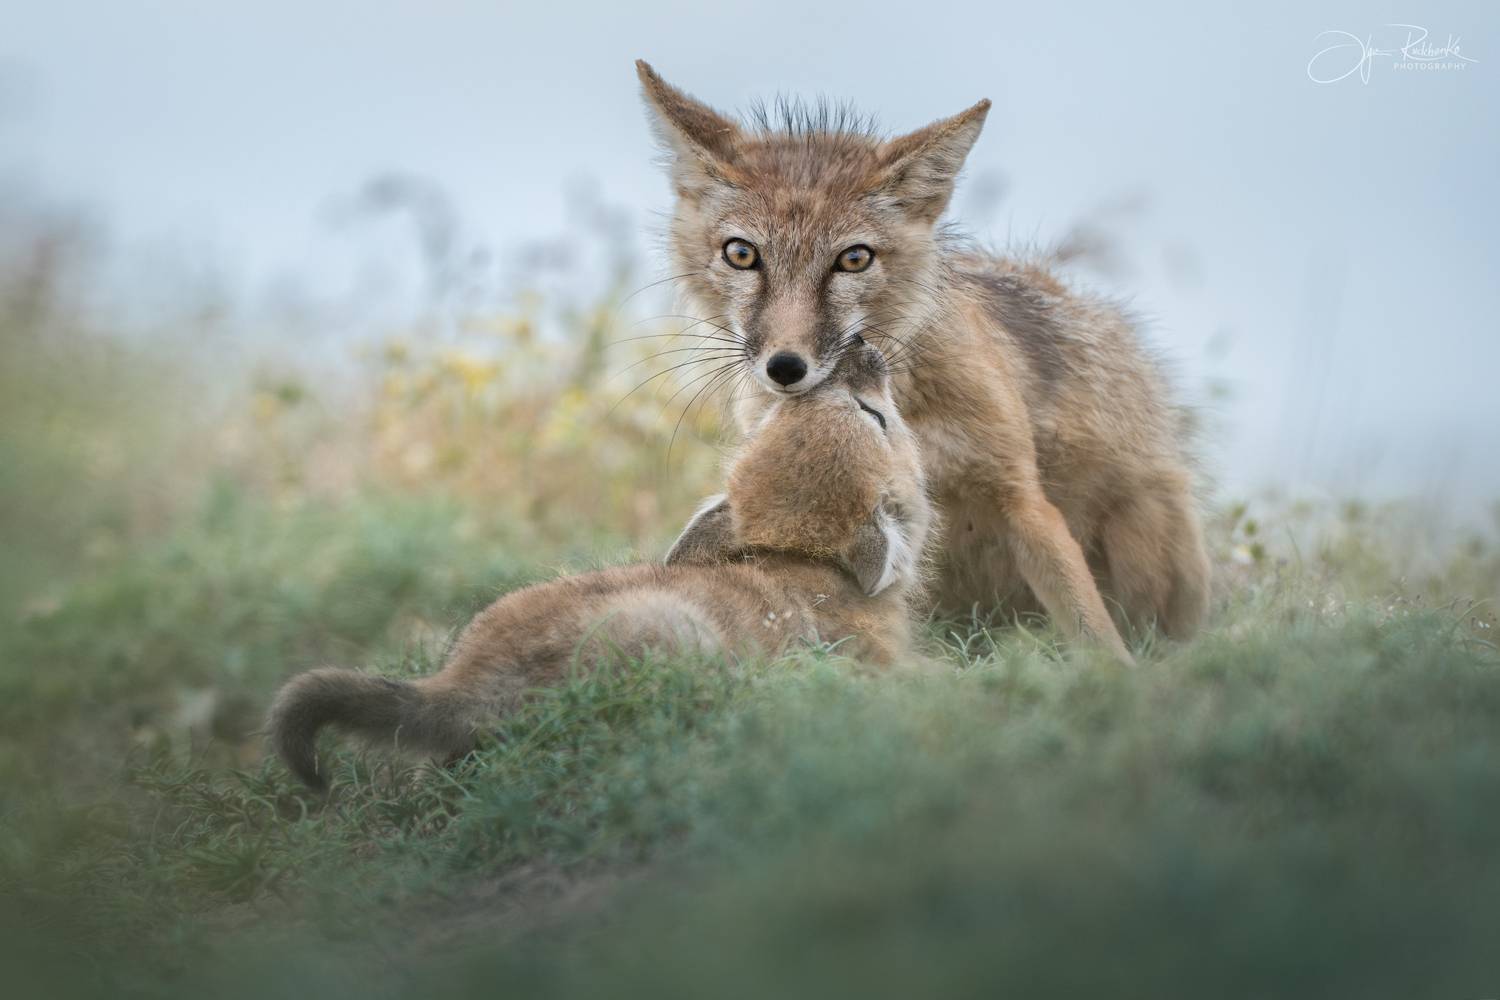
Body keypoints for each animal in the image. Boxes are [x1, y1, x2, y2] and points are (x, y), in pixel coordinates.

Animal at [268, 343, 932, 789]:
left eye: (773, 418)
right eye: (875, 417)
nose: (858, 345)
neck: (798, 560)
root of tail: (460, 681)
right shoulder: (889, 664)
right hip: (678, 640)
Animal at [638, 61, 1211, 663]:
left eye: (854, 259)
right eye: (742, 254)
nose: (786, 367)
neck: (909, 409)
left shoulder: (1022, 499)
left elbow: (1093, 629)